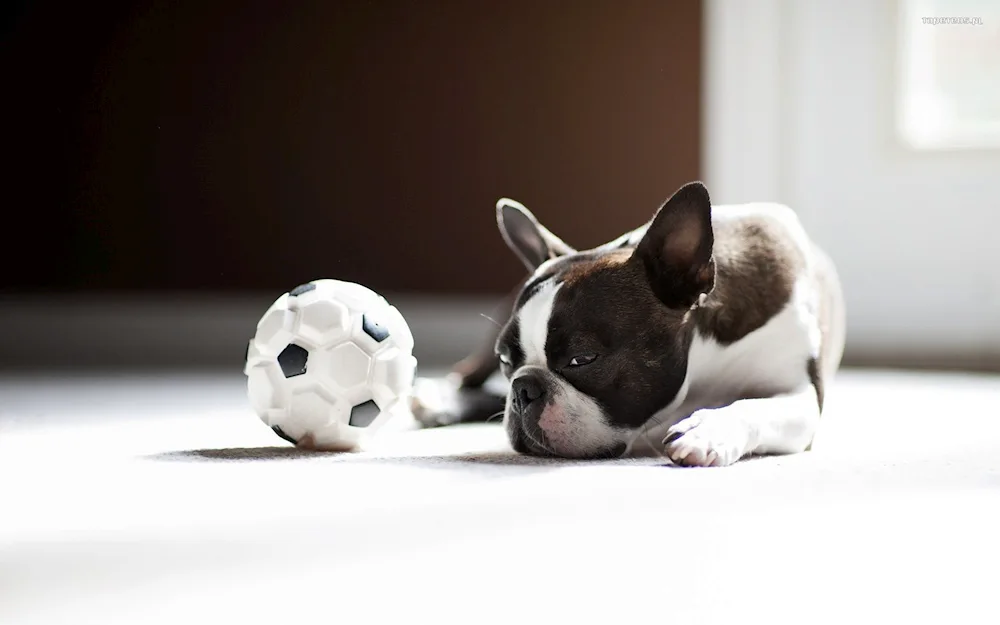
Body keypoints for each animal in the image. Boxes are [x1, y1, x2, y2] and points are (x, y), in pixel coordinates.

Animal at [412, 179, 844, 464]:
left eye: (582, 359)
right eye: (506, 360)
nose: (522, 389)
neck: (704, 357)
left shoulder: (801, 393)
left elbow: (752, 406)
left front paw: (708, 429)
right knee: (468, 377)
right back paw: (438, 399)